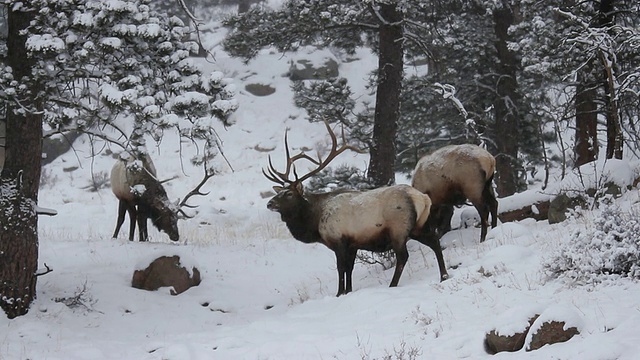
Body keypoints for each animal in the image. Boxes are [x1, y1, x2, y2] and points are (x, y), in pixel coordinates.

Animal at [262, 122, 448, 296]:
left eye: (289, 194)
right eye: (280, 192)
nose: (269, 204)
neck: (315, 222)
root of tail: (423, 198)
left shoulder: (339, 240)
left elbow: (341, 268)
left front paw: (339, 293)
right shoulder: (353, 244)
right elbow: (349, 269)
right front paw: (348, 291)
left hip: (399, 228)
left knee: (403, 256)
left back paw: (393, 285)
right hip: (418, 226)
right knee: (435, 241)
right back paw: (444, 275)